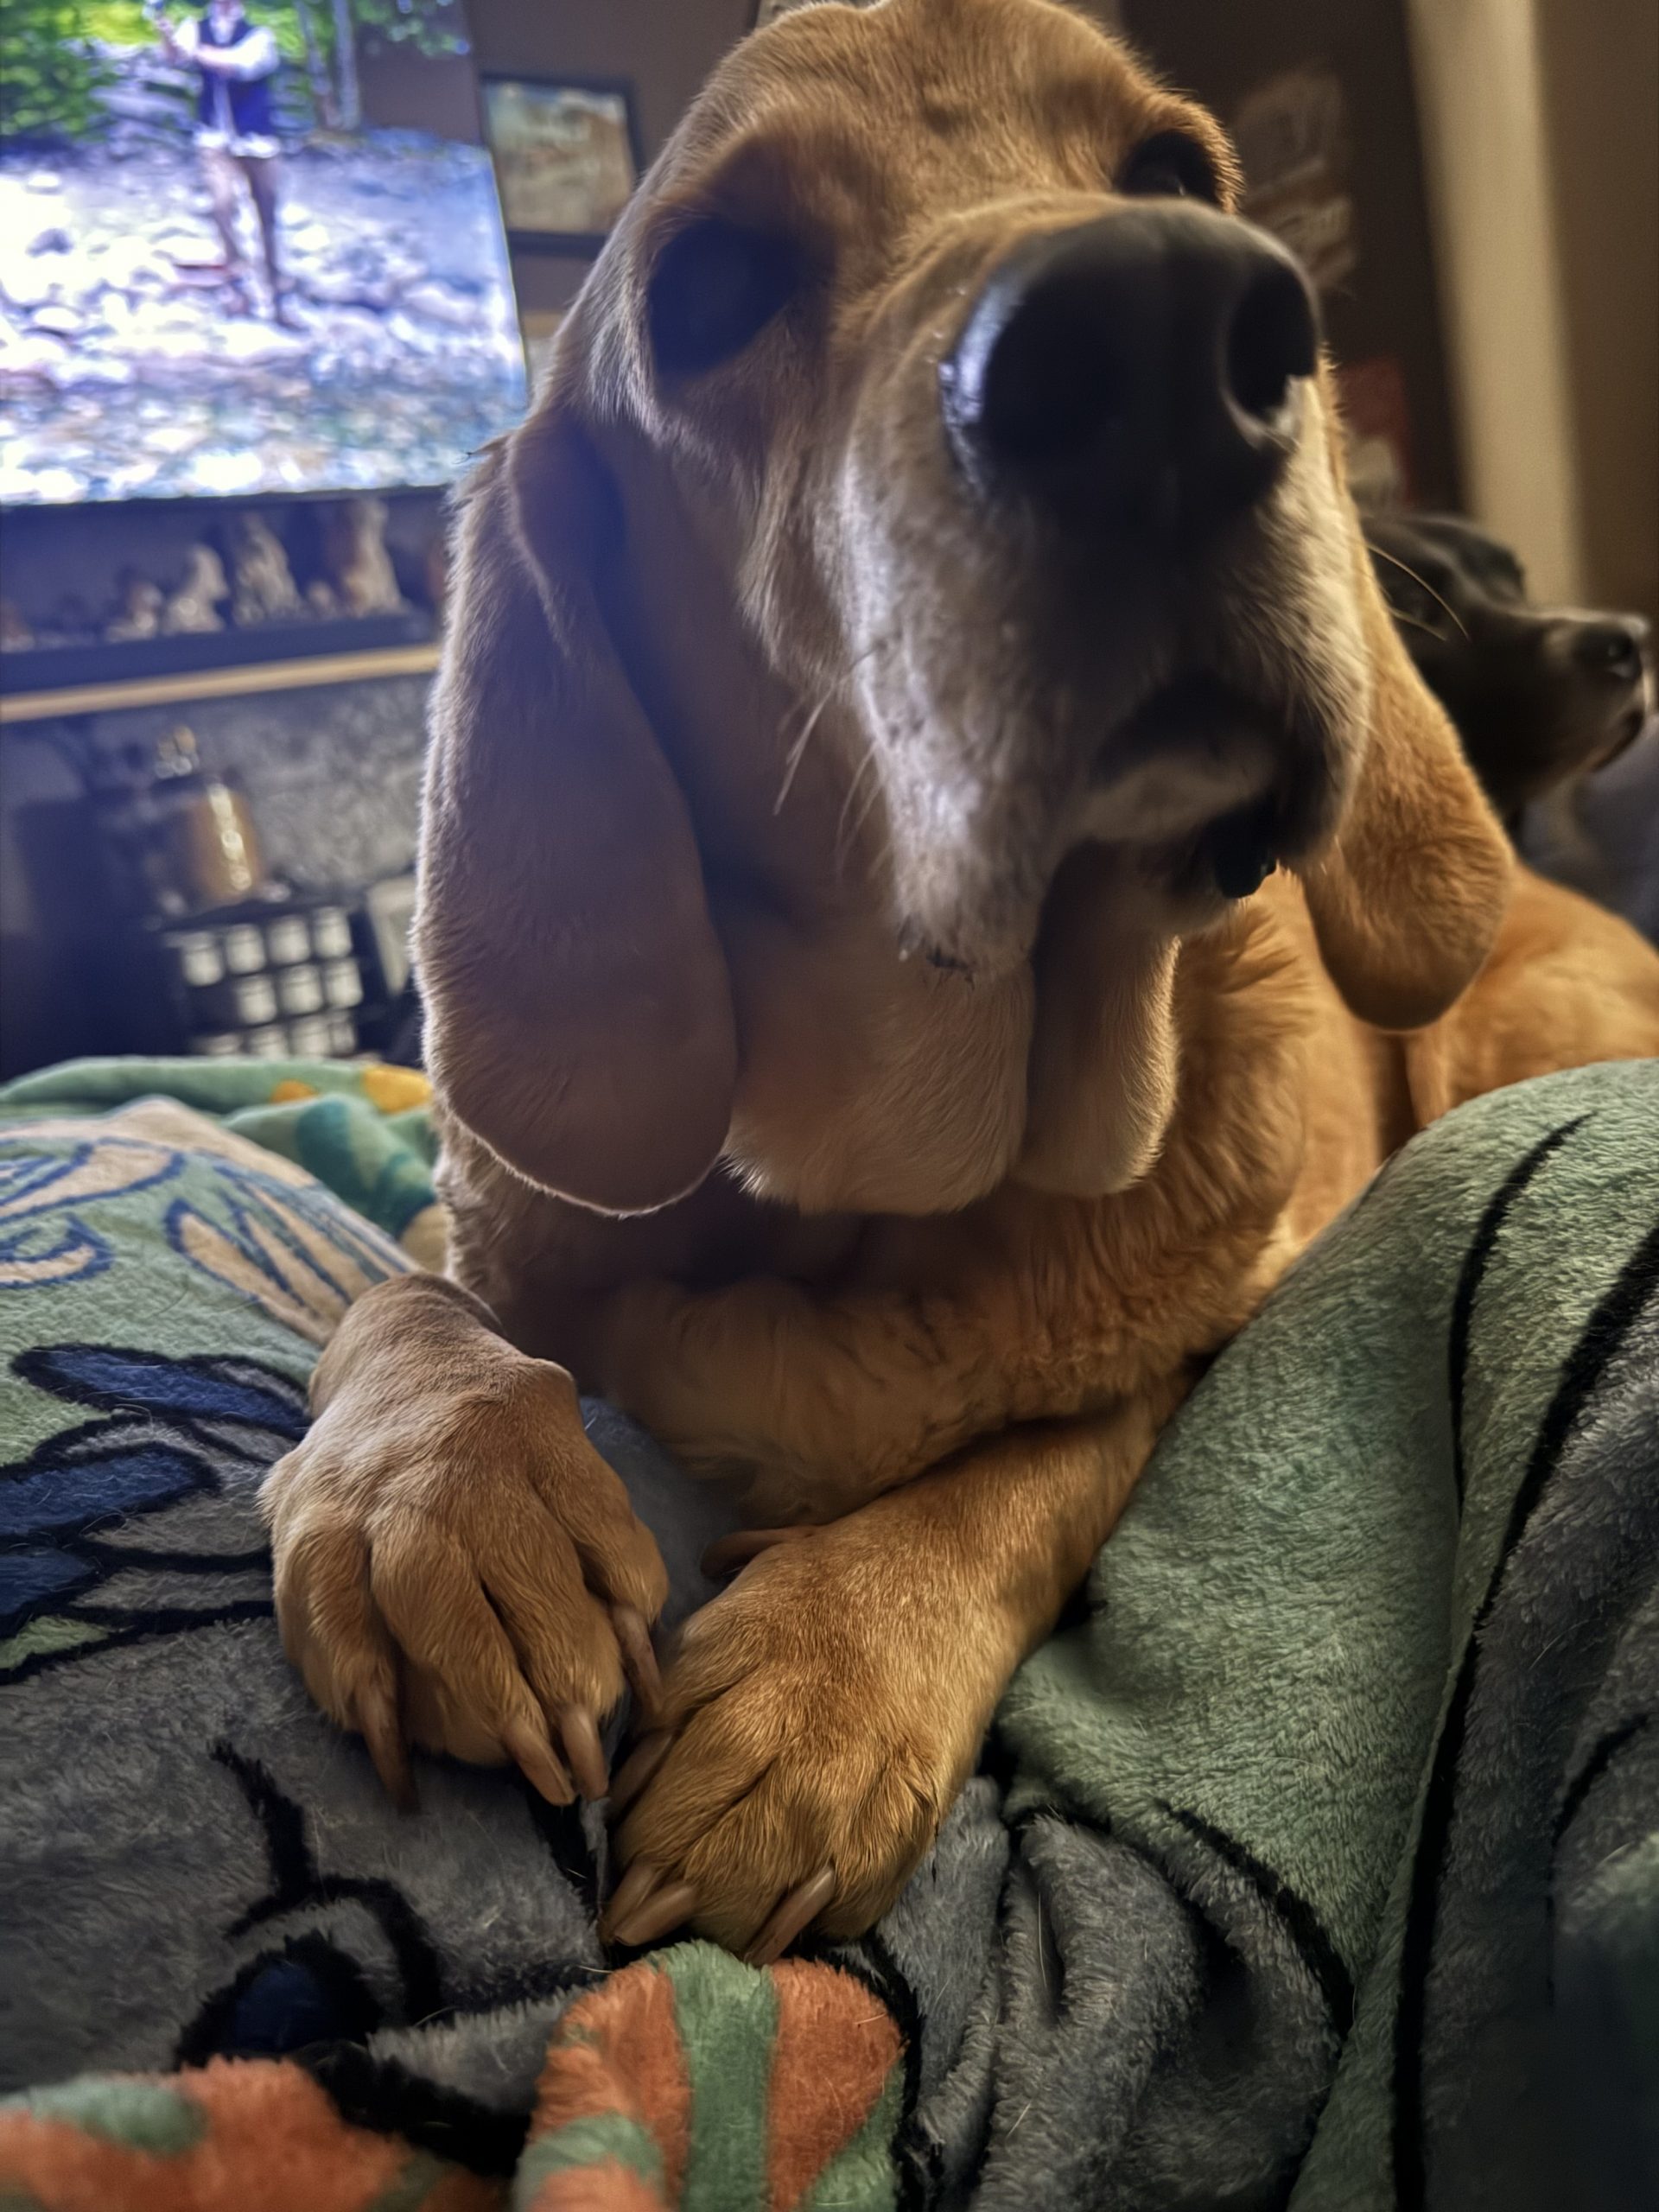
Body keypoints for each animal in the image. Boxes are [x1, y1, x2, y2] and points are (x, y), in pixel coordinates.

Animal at [262, 0, 1659, 1964]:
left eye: (1176, 172)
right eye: (709, 290)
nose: (1162, 323)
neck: (890, 1199)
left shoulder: (1225, 1326)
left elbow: (1027, 1464)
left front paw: (824, 1683)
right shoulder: (451, 1224)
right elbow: (396, 1305)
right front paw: (442, 1495)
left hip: (1489, 1042)